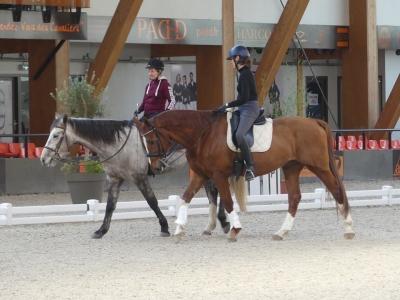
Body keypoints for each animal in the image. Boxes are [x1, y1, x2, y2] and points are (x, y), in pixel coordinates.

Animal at [41, 113, 230, 238]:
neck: (118, 144)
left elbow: (152, 202)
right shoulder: (115, 180)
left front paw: (164, 227)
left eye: (56, 135)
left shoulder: (139, 178)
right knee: (213, 191)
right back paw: (215, 225)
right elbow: (110, 206)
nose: (43, 159)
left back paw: (224, 222)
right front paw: (101, 230)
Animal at [134, 110, 356, 244]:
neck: (204, 134)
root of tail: (313, 121)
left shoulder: (219, 175)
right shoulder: (201, 174)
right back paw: (281, 232)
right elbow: (185, 198)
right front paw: (179, 230)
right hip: (291, 167)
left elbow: (227, 201)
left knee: (337, 191)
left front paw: (235, 230)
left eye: (152, 141)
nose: (155, 168)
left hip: (319, 167)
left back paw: (348, 229)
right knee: (294, 198)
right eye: (143, 143)